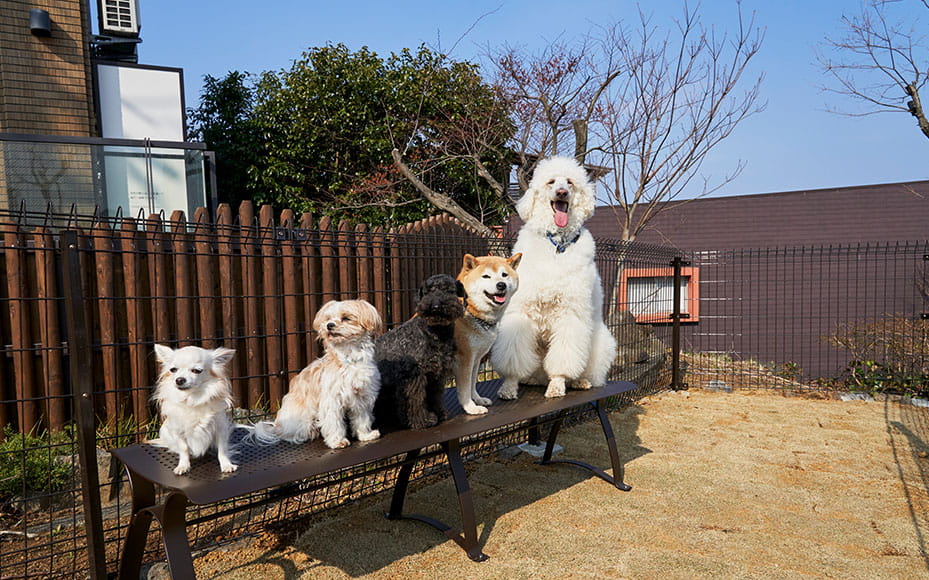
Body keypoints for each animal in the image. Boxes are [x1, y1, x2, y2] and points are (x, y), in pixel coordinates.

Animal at [150, 344, 237, 476]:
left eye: (196, 371)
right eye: (173, 370)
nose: (179, 379)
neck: (192, 398)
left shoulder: (220, 428)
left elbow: (222, 449)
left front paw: (226, 464)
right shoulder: (178, 431)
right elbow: (183, 448)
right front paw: (183, 465)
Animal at [248, 302, 382, 450]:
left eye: (346, 318)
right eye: (328, 318)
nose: (329, 325)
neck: (349, 358)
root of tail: (276, 426)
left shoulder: (361, 397)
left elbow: (362, 419)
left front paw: (365, 435)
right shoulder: (331, 401)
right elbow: (334, 422)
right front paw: (337, 441)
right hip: (303, 420)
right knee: (288, 434)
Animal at [452, 253, 520, 412]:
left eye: (504, 275)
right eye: (486, 276)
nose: (501, 285)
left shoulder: (476, 358)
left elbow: (472, 385)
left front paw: (477, 400)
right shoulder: (464, 359)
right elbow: (464, 388)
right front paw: (470, 407)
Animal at [492, 155, 616, 398]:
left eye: (569, 182)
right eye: (551, 182)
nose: (561, 193)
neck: (557, 245)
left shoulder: (569, 314)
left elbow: (564, 358)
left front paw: (557, 385)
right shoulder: (522, 311)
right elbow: (513, 357)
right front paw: (509, 386)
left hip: (601, 343)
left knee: (586, 371)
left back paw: (580, 381)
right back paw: (531, 379)